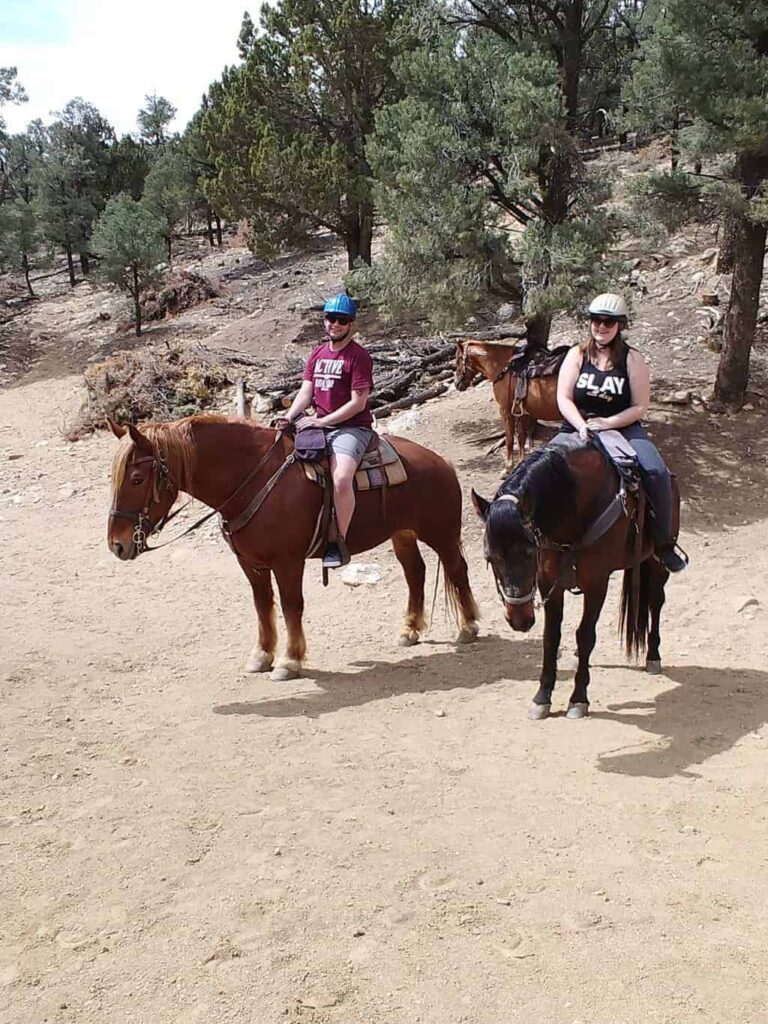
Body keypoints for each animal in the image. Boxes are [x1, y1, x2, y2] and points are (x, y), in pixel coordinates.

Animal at [107, 411, 481, 684]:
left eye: (137, 479)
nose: (117, 545)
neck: (255, 480)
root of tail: (441, 462)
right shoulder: (251, 563)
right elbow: (262, 606)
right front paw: (261, 655)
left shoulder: (287, 562)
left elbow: (291, 606)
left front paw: (289, 661)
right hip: (402, 534)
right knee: (415, 573)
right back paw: (410, 629)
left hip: (441, 533)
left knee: (457, 569)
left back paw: (468, 627)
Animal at [456, 342, 561, 473]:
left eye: (458, 359)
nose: (457, 384)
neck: (504, 368)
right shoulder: (522, 413)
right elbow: (521, 437)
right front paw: (521, 462)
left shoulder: (505, 411)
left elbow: (510, 438)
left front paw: (507, 468)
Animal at [473, 440, 684, 720]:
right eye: (489, 557)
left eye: (528, 551)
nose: (519, 620)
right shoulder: (549, 584)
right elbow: (551, 637)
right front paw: (542, 697)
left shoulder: (597, 584)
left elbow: (585, 636)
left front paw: (578, 699)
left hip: (656, 561)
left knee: (655, 602)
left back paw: (653, 656)